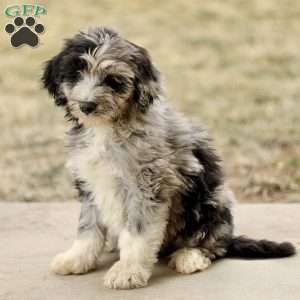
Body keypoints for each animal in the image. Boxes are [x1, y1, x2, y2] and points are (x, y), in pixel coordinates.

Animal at [41, 27, 296, 290]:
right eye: (76, 73)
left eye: (113, 80)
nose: (86, 106)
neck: (108, 128)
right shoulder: (90, 183)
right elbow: (88, 228)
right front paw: (76, 259)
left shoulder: (146, 186)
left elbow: (137, 234)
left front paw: (127, 271)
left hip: (209, 201)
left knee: (213, 243)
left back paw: (189, 256)